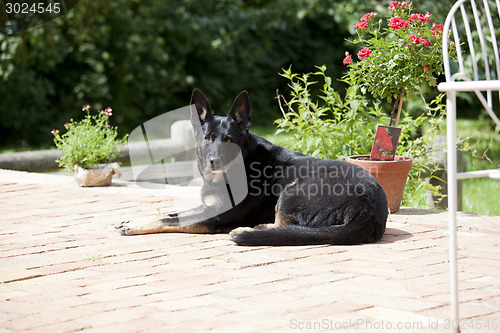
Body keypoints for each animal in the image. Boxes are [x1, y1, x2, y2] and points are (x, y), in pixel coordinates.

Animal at [116, 88, 386, 244]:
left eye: (229, 140)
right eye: (207, 138)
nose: (214, 161)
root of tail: (370, 210)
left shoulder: (214, 217)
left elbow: (172, 220)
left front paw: (136, 225)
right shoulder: (208, 206)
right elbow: (172, 213)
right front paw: (134, 219)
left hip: (291, 191)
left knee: (287, 227)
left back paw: (252, 230)